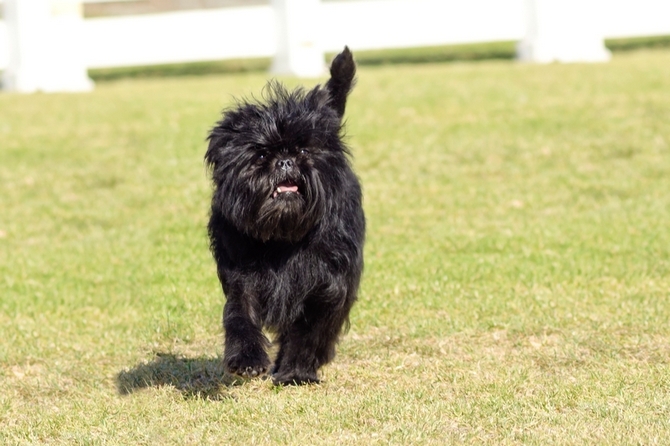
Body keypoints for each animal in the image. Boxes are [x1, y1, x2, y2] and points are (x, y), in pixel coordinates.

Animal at [207, 48, 368, 384]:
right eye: (261, 155)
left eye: (304, 151)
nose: (285, 161)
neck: (282, 237)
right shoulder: (242, 278)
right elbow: (239, 316)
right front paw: (246, 359)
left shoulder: (327, 284)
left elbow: (308, 330)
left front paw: (295, 371)